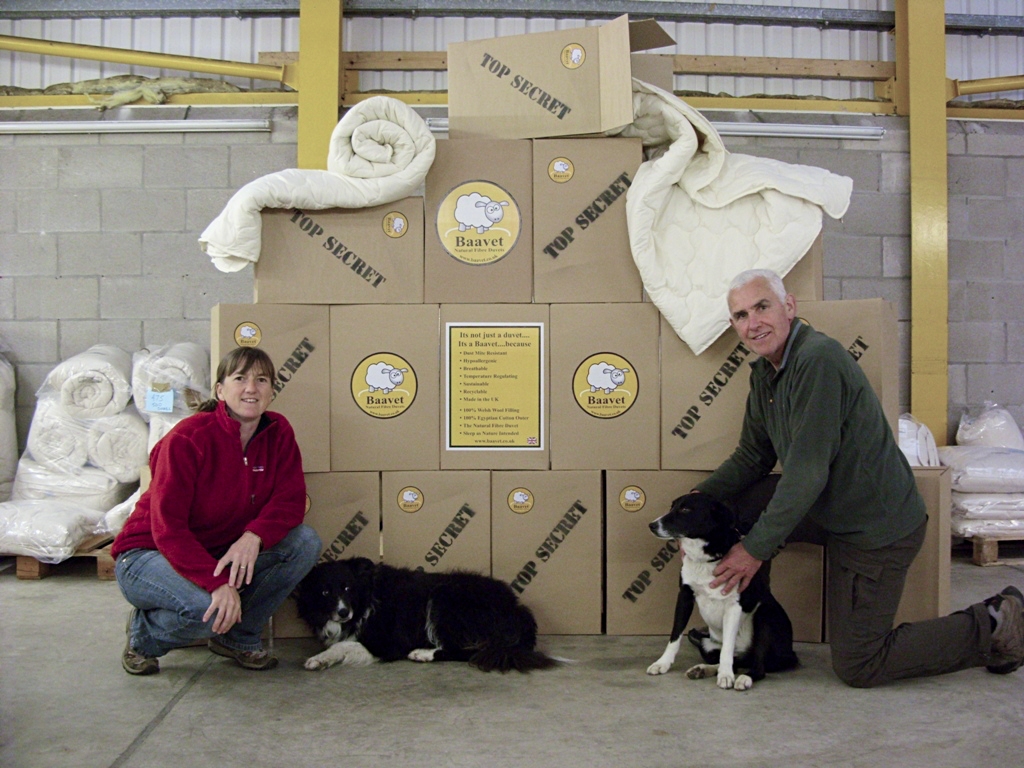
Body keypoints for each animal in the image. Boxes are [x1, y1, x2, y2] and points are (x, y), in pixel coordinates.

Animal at [296, 561, 561, 671]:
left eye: (347, 588)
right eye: (325, 592)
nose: (343, 612)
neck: (365, 598)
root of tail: (518, 609)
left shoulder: (387, 644)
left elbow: (343, 645)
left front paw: (319, 658)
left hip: (445, 596)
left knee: (466, 652)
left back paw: (423, 653)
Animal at [643, 495, 794, 696]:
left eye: (685, 510)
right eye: (672, 507)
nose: (652, 525)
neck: (704, 559)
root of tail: (789, 654)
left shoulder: (734, 606)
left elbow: (727, 648)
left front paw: (726, 676)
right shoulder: (684, 596)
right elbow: (675, 635)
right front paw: (663, 663)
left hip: (765, 616)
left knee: (758, 666)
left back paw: (743, 678)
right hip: (706, 644)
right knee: (736, 661)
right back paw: (703, 669)